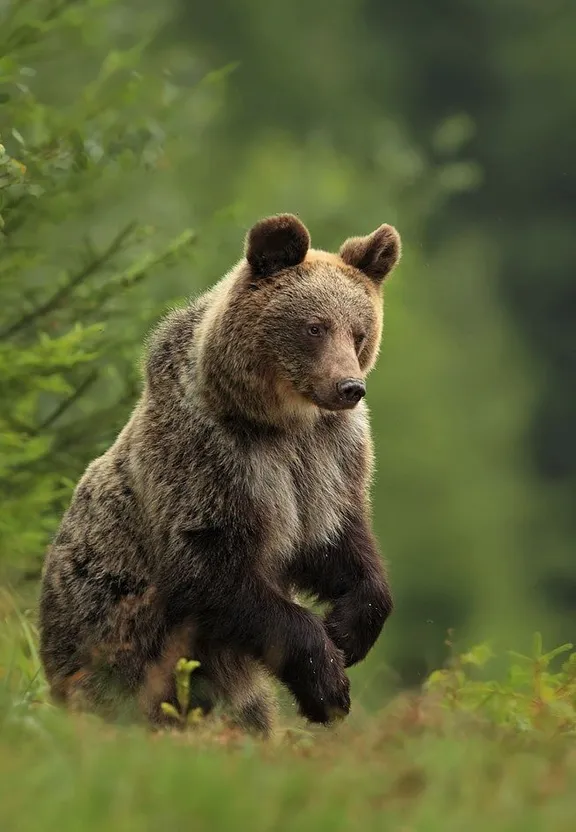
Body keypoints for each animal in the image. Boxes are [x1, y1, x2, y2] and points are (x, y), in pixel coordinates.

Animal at [39, 213, 400, 736]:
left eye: (359, 332)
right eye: (314, 327)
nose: (349, 386)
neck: (280, 422)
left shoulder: (329, 463)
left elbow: (341, 544)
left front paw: (348, 631)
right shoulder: (212, 462)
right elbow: (211, 572)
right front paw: (327, 681)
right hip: (116, 648)